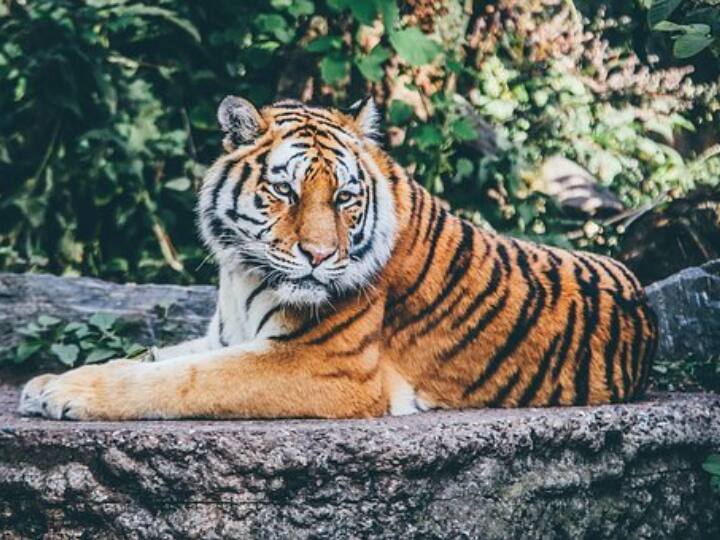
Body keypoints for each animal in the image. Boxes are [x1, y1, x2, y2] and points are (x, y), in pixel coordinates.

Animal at [18, 96, 658, 421]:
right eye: (285, 191)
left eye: (345, 198)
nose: (320, 256)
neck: (240, 273)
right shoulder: (224, 335)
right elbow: (153, 357)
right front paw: (48, 381)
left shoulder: (323, 365)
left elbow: (181, 380)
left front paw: (64, 394)